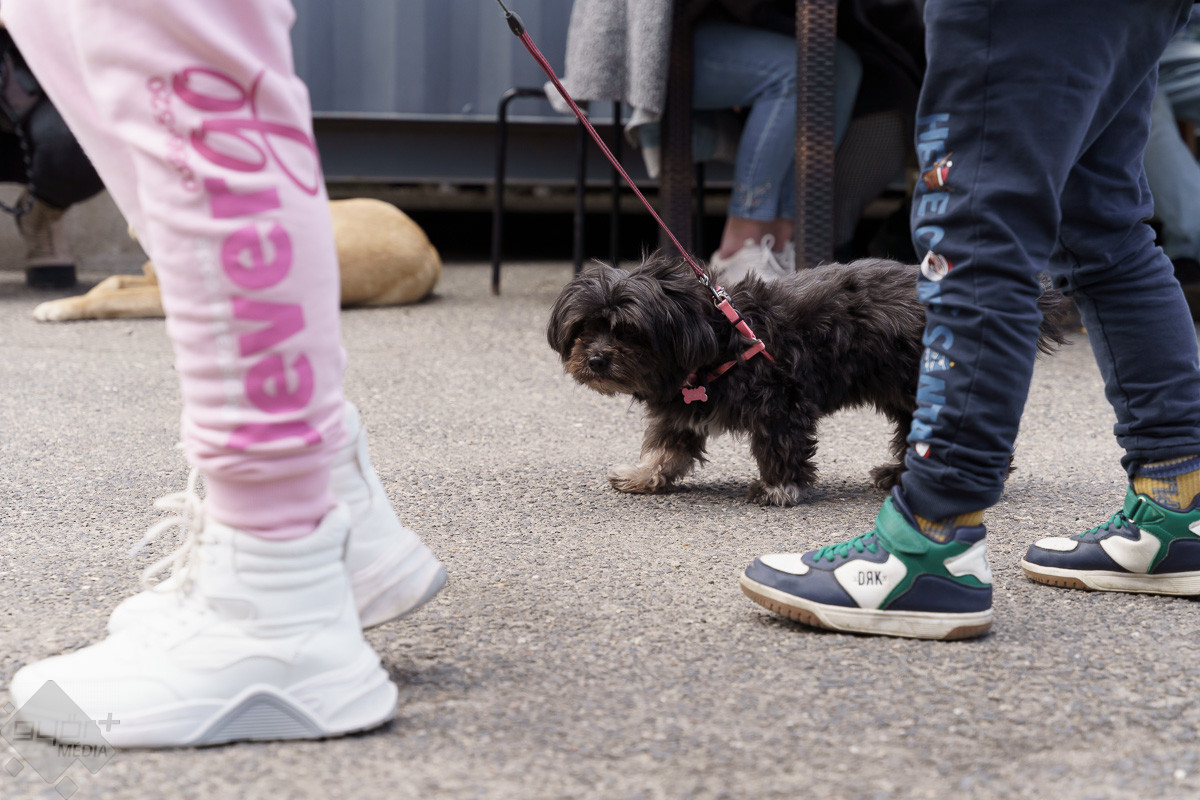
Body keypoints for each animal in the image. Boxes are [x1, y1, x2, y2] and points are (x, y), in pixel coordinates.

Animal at [547, 253, 1071, 506]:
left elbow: (781, 448)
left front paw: (780, 489)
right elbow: (666, 447)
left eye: (628, 330)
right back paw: (901, 473)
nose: (595, 358)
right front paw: (644, 474)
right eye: (585, 326)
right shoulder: (683, 404)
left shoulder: (781, 400)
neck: (716, 337)